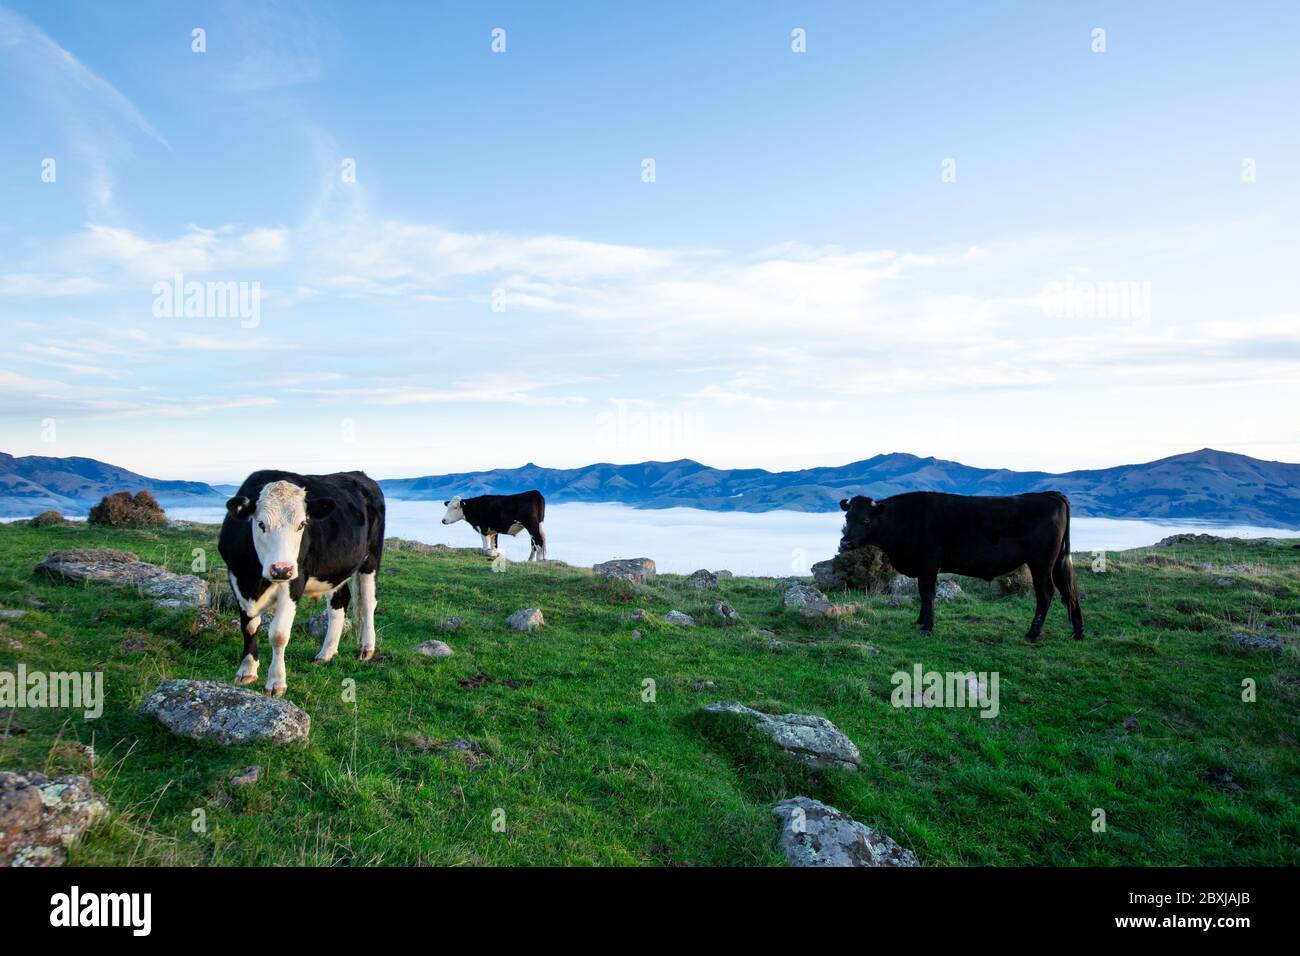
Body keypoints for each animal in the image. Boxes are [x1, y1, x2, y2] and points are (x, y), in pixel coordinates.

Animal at [213, 468, 382, 697]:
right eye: (261, 524)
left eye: (302, 524)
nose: (281, 569)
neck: (255, 579)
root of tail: (359, 474)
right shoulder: (237, 579)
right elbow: (249, 626)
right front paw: (247, 670)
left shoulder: (295, 580)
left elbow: (278, 634)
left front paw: (276, 682)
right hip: (335, 568)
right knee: (339, 602)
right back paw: (326, 653)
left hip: (371, 558)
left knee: (367, 603)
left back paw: (366, 648)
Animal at [837, 494, 1081, 642]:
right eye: (847, 517)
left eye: (866, 520)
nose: (845, 543)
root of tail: (1051, 494)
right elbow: (922, 595)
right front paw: (920, 622)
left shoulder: (928, 563)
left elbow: (927, 594)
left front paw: (927, 627)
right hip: (1057, 562)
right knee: (1069, 591)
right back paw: (1078, 632)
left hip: (1041, 562)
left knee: (1046, 593)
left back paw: (1032, 633)